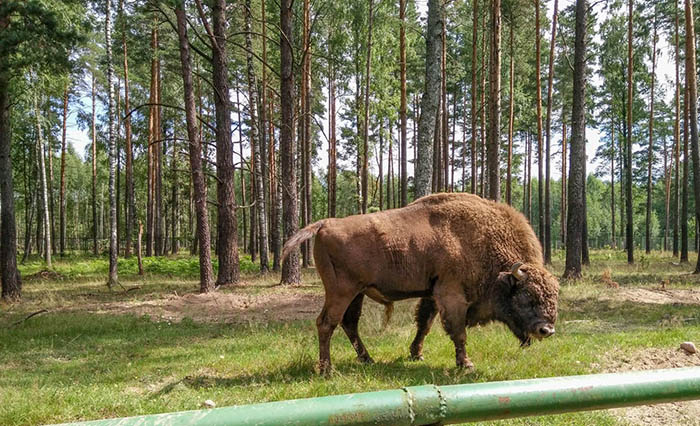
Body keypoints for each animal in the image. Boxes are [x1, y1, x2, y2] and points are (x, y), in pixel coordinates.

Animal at [282, 191, 560, 374]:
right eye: (526, 297)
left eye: (553, 297)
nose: (546, 330)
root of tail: (324, 224)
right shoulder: (452, 295)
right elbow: (458, 332)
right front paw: (466, 364)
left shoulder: (432, 293)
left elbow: (424, 324)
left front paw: (416, 354)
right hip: (340, 291)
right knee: (326, 323)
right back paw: (326, 369)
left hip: (356, 293)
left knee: (349, 323)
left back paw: (367, 360)